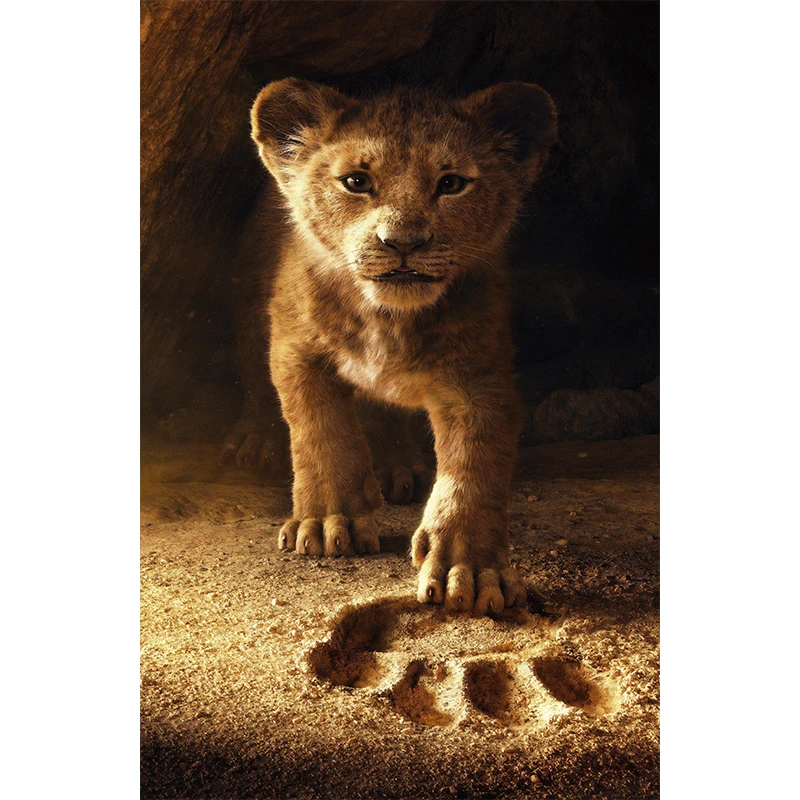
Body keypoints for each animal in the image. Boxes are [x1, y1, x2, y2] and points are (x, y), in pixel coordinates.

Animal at [227, 78, 557, 616]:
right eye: (356, 181)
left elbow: (474, 467)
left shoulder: (479, 377)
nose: (403, 242)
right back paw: (255, 442)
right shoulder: (297, 348)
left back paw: (394, 465)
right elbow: (321, 432)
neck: (388, 318)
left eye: (451, 183)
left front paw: (469, 569)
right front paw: (329, 522)